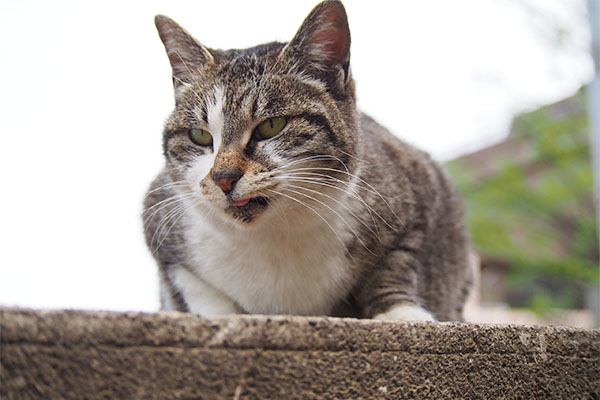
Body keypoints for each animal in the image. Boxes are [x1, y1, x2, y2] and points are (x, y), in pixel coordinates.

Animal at [143, 0, 472, 320]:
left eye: (271, 125)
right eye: (199, 135)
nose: (223, 177)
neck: (272, 235)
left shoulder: (418, 190)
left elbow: (395, 266)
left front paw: (401, 314)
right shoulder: (158, 217)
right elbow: (197, 288)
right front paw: (218, 315)